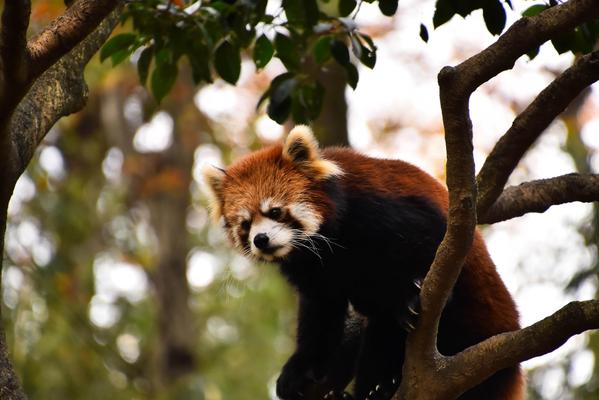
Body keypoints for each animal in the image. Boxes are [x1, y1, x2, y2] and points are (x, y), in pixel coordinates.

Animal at [203, 126, 524, 400]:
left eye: (275, 212)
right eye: (245, 224)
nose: (261, 240)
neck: (329, 247)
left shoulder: (380, 210)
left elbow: (431, 243)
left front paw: (409, 295)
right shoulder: (314, 273)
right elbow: (320, 314)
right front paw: (299, 368)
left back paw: (379, 385)